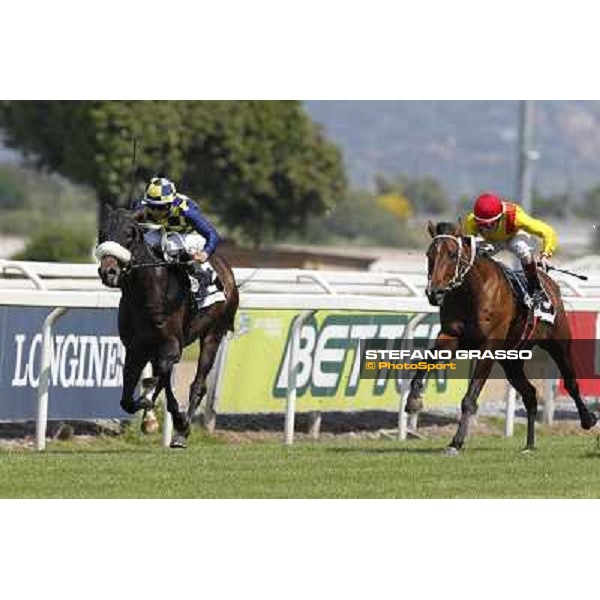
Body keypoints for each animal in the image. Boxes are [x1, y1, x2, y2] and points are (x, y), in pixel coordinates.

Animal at [96, 206, 239, 446]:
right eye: (102, 233)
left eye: (130, 234)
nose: (109, 272)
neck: (149, 294)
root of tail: (226, 270)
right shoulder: (136, 348)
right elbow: (127, 398)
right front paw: (146, 410)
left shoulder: (172, 344)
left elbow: (164, 373)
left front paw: (179, 421)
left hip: (213, 334)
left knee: (197, 384)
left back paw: (181, 434)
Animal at [406, 223, 596, 452]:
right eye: (429, 254)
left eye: (452, 254)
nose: (434, 293)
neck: (472, 293)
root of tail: (548, 280)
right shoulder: (450, 335)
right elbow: (425, 363)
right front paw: (413, 401)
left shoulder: (488, 346)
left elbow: (470, 397)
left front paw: (456, 442)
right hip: (511, 360)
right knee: (530, 395)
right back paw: (529, 444)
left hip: (558, 344)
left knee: (571, 383)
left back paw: (588, 420)